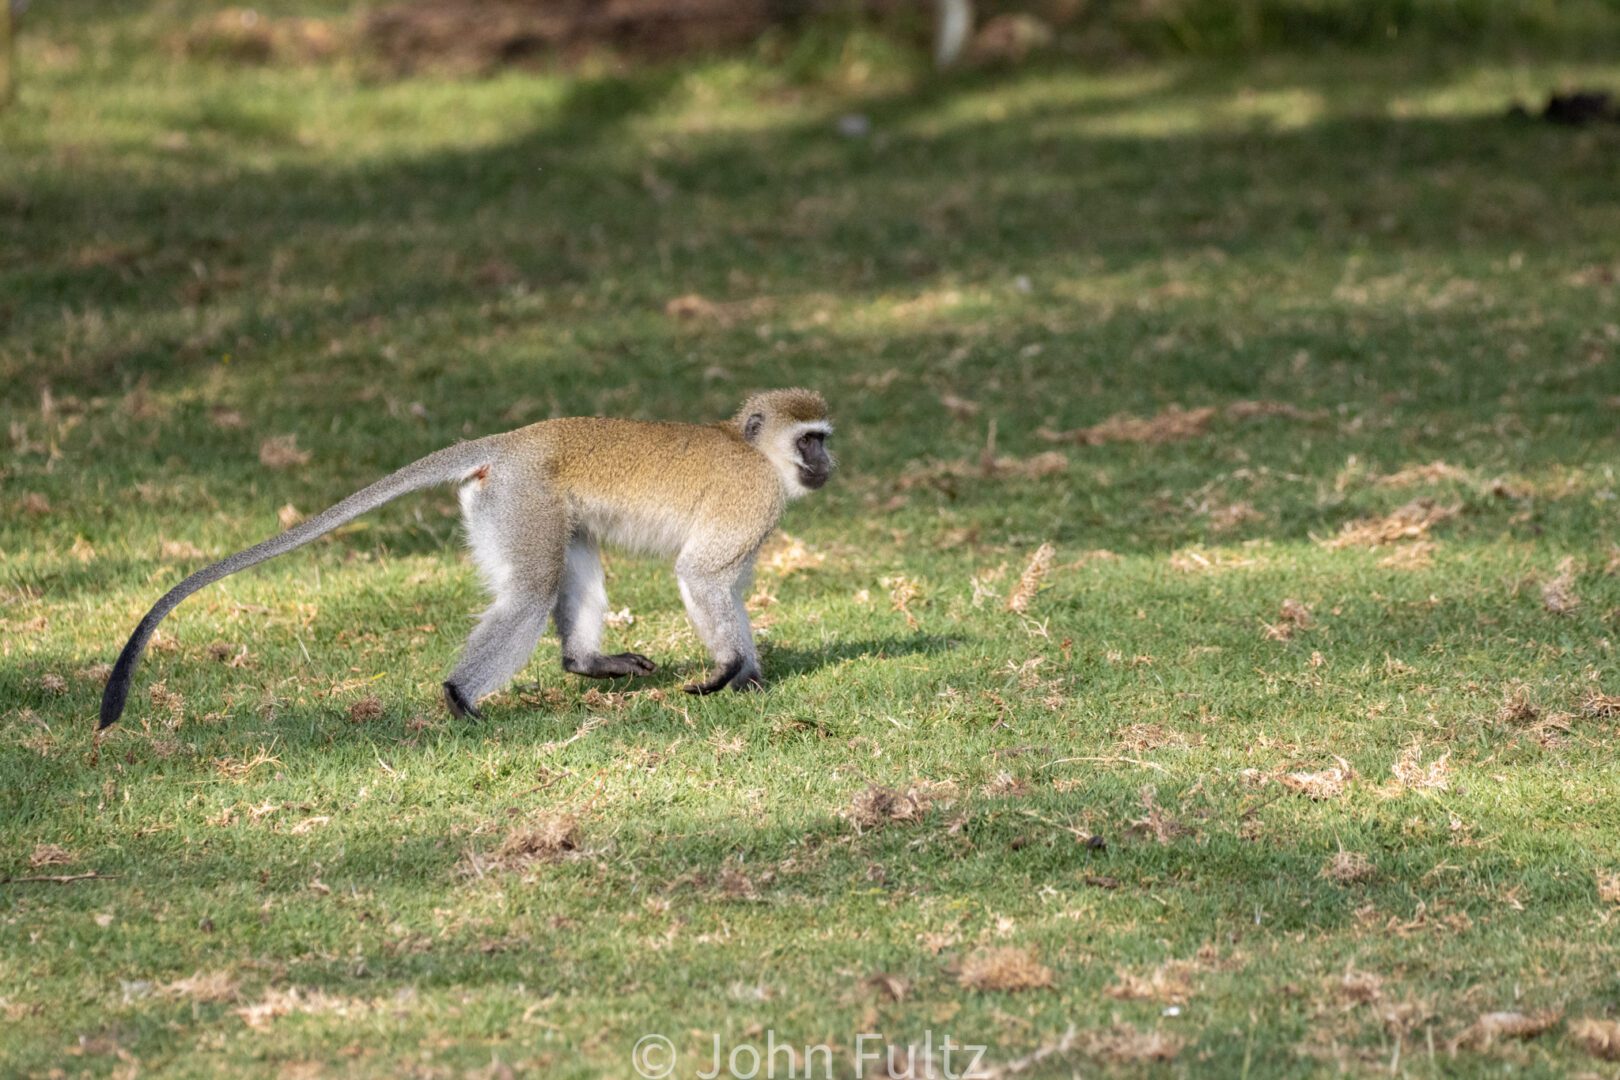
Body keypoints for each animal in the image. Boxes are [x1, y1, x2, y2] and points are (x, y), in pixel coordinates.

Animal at [99, 383, 835, 731]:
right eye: (810, 440)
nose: (830, 464)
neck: (753, 451)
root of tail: (513, 441)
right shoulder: (751, 500)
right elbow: (701, 577)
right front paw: (729, 670)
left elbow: (725, 588)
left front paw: (749, 675)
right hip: (521, 499)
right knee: (531, 592)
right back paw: (459, 696)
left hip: (518, 505)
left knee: (564, 570)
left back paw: (584, 662)